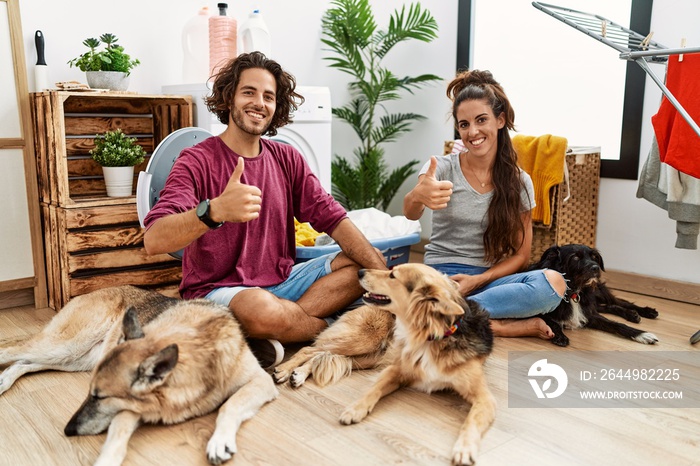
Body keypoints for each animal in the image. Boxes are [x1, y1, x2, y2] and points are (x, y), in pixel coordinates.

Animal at [0, 284, 278, 466]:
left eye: (98, 397)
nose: (68, 430)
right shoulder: (129, 409)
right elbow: (118, 432)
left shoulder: (261, 381)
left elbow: (230, 405)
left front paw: (219, 440)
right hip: (66, 346)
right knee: (11, 352)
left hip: (74, 358)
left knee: (25, 363)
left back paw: (4, 380)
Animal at [532, 244, 660, 346]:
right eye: (575, 257)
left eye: (594, 257)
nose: (596, 268)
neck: (573, 292)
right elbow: (553, 323)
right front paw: (561, 337)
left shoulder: (589, 313)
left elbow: (616, 324)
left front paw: (642, 334)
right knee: (608, 306)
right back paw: (632, 314)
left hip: (598, 292)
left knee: (620, 302)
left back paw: (644, 312)